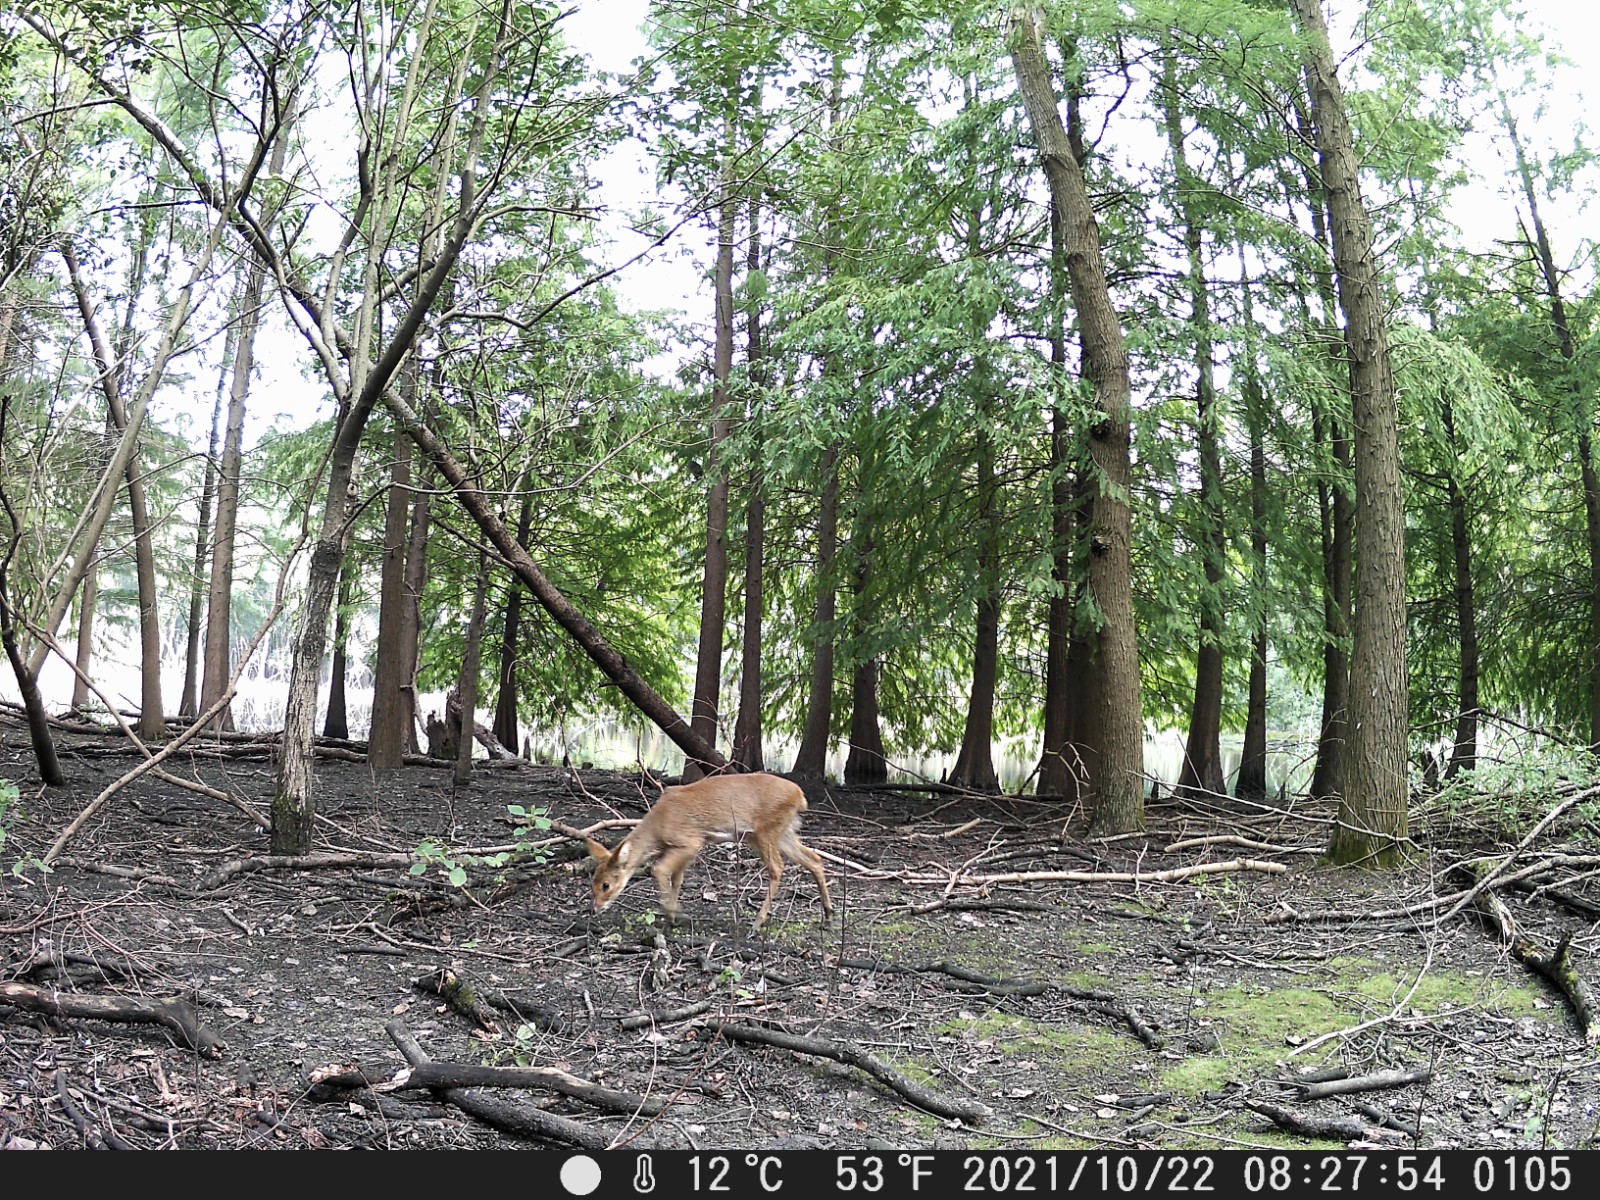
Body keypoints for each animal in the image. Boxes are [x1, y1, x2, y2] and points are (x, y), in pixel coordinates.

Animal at [588, 774, 838, 934]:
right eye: (594, 881)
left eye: (606, 885)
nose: (594, 908)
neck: (658, 828)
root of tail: (800, 796)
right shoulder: (684, 848)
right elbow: (677, 878)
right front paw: (671, 919)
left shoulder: (690, 841)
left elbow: (658, 869)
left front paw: (675, 912)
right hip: (782, 832)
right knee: (814, 859)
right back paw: (827, 917)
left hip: (764, 832)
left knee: (778, 867)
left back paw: (757, 924)